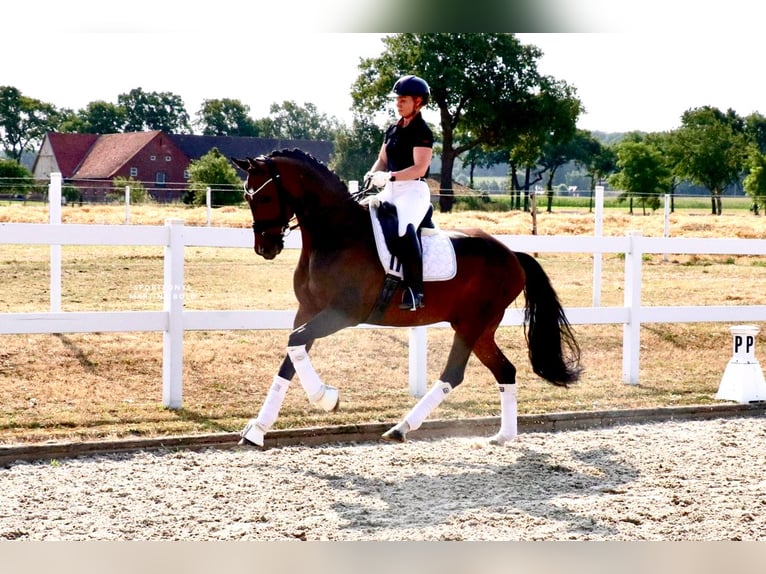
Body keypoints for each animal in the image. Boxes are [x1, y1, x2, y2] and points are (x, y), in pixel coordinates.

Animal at [232, 149, 581, 448]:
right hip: (480, 328)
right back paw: (503, 436)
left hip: (472, 324)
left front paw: (327, 398)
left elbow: (295, 344)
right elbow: (292, 356)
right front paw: (257, 430)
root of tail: (512, 255)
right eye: (248, 197)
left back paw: (401, 427)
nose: (265, 248)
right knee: (505, 371)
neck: (336, 234)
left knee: (453, 374)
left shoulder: (342, 314)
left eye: (264, 196)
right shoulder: (308, 311)